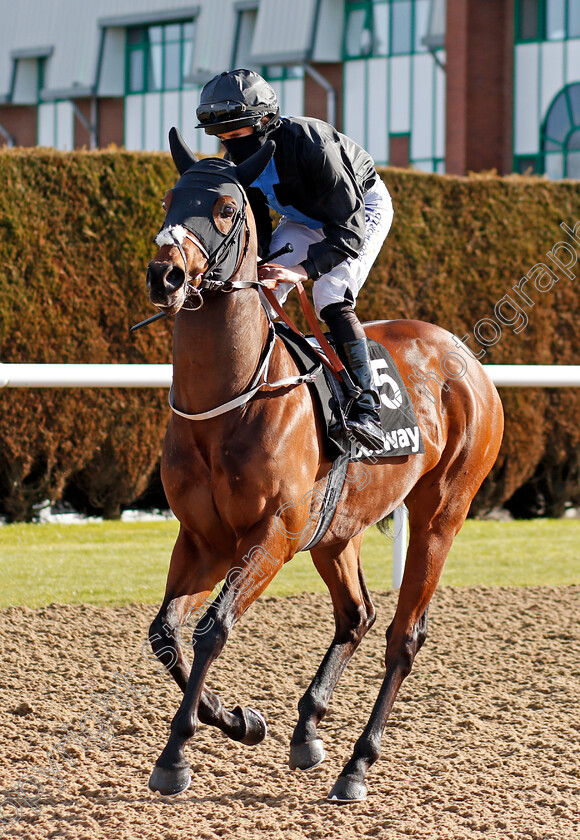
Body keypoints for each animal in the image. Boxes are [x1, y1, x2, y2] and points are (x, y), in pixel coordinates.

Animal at [143, 128, 500, 804]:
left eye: (225, 208)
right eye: (171, 200)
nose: (165, 273)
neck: (228, 402)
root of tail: (466, 360)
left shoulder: (273, 534)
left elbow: (212, 628)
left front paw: (175, 755)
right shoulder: (203, 538)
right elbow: (166, 634)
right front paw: (241, 721)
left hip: (442, 514)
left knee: (402, 637)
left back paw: (356, 766)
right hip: (338, 530)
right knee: (356, 615)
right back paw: (308, 730)